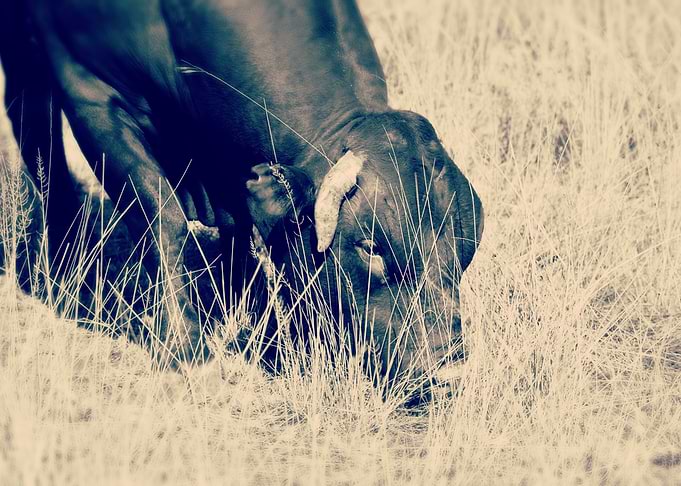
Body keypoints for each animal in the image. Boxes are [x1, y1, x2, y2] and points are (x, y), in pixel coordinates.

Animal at [1, 0, 483, 401]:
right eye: (370, 249)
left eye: (464, 250)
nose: (448, 367)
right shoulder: (90, 94)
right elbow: (162, 216)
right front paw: (188, 350)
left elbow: (239, 228)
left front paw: (245, 315)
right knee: (33, 119)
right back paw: (62, 254)